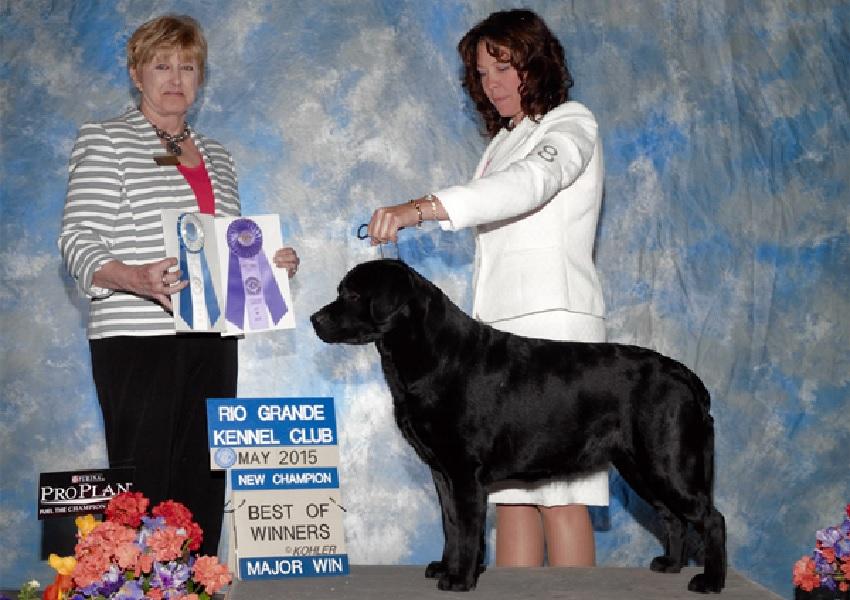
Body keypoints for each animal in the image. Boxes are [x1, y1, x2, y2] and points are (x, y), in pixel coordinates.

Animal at [308, 260, 724, 592]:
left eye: (353, 294)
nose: (315, 319)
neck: (432, 355)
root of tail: (686, 377)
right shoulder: (442, 471)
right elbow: (451, 523)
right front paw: (449, 567)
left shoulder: (464, 471)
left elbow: (467, 527)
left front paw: (459, 579)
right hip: (640, 466)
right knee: (673, 516)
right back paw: (670, 565)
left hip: (667, 460)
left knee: (710, 518)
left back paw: (709, 581)